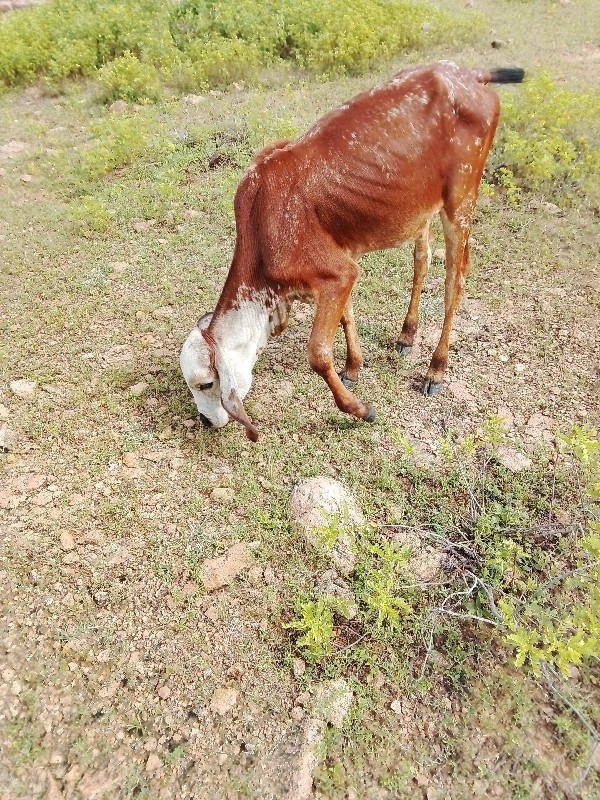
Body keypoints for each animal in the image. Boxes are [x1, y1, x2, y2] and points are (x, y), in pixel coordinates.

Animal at [180, 59, 524, 440]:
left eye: (207, 383)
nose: (205, 420)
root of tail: (469, 74)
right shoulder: (339, 266)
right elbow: (347, 315)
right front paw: (354, 366)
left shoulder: (337, 272)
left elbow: (318, 354)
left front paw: (360, 409)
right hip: (422, 208)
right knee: (422, 260)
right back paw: (407, 335)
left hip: (461, 200)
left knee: (455, 280)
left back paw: (436, 368)